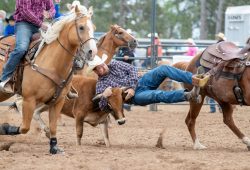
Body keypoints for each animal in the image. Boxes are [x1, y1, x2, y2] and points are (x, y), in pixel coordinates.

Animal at [0, 6, 97, 154]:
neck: (52, 64)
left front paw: (54, 147)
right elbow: (24, 127)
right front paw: (4, 129)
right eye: (81, 27)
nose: (92, 52)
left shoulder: (58, 101)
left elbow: (53, 126)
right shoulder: (29, 100)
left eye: (94, 27)